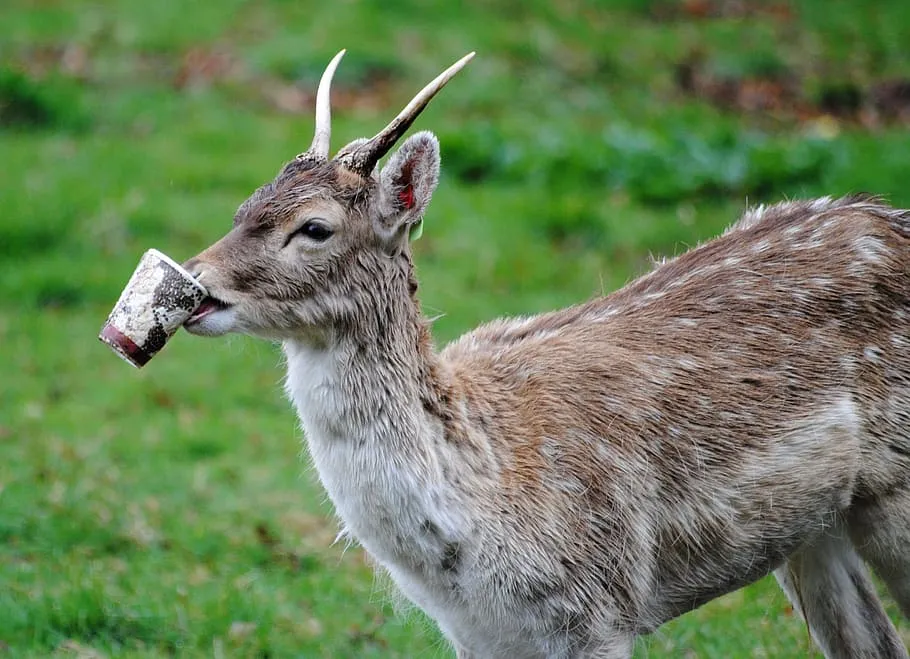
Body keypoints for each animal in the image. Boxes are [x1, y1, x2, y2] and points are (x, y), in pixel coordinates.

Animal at [181, 50, 910, 658]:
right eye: (245, 205)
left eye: (314, 228)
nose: (195, 283)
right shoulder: (480, 637)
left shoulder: (600, 609)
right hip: (812, 528)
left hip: (893, 490)